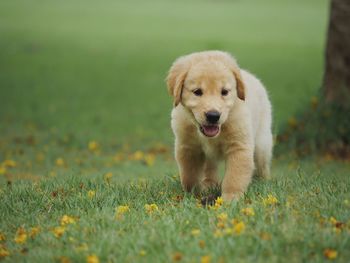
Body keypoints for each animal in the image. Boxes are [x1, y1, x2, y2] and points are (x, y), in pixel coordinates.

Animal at [165, 51, 272, 202]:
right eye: (197, 92)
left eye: (225, 92)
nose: (213, 115)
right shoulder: (187, 147)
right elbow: (189, 175)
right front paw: (193, 194)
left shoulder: (239, 146)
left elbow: (234, 177)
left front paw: (231, 199)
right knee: (210, 167)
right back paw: (209, 184)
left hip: (262, 143)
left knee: (262, 164)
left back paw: (263, 182)